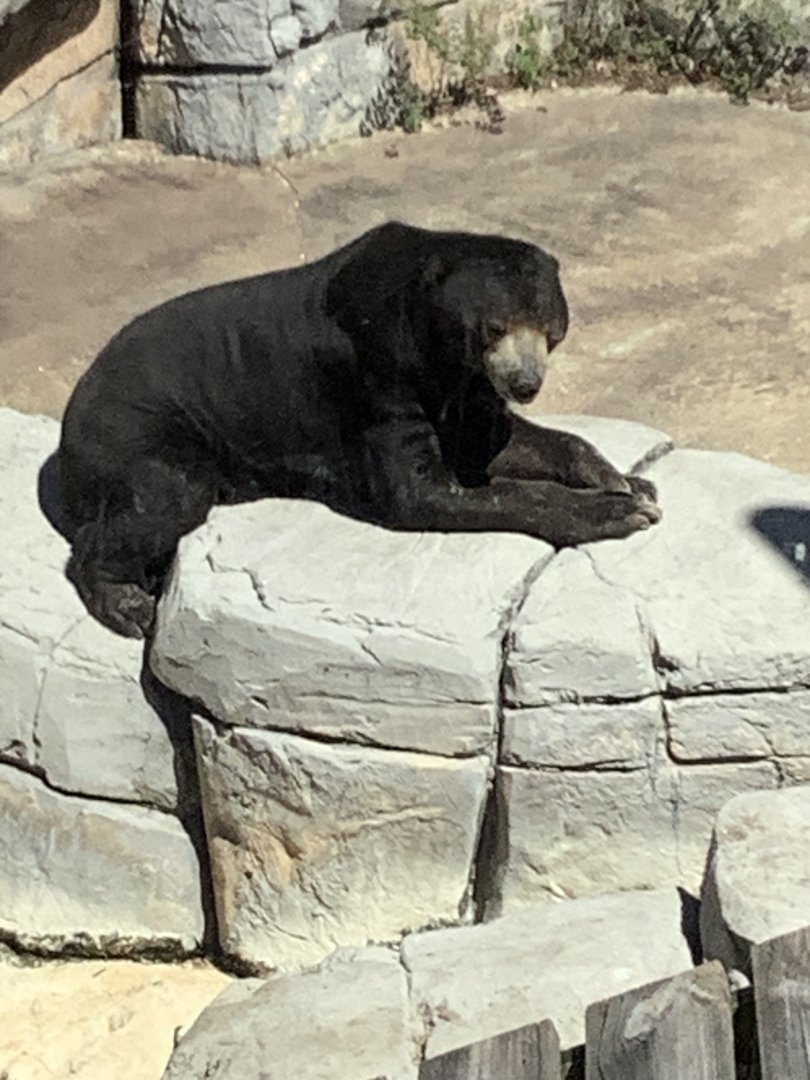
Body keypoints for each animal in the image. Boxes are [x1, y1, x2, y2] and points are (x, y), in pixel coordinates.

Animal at [59, 221, 660, 639]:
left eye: (551, 332)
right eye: (495, 327)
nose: (525, 382)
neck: (431, 339)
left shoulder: (459, 383)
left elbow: (493, 440)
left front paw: (627, 481)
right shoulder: (377, 371)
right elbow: (421, 488)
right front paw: (617, 510)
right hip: (137, 428)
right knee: (163, 495)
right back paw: (127, 601)